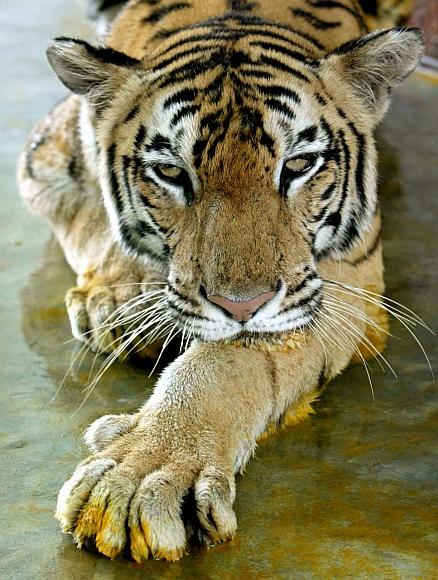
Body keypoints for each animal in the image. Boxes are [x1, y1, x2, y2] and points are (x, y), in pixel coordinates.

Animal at [16, 0, 420, 564]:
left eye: (299, 165)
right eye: (170, 173)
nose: (243, 306)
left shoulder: (340, 279)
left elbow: (227, 363)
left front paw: (143, 476)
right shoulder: (46, 157)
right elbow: (87, 213)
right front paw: (120, 297)